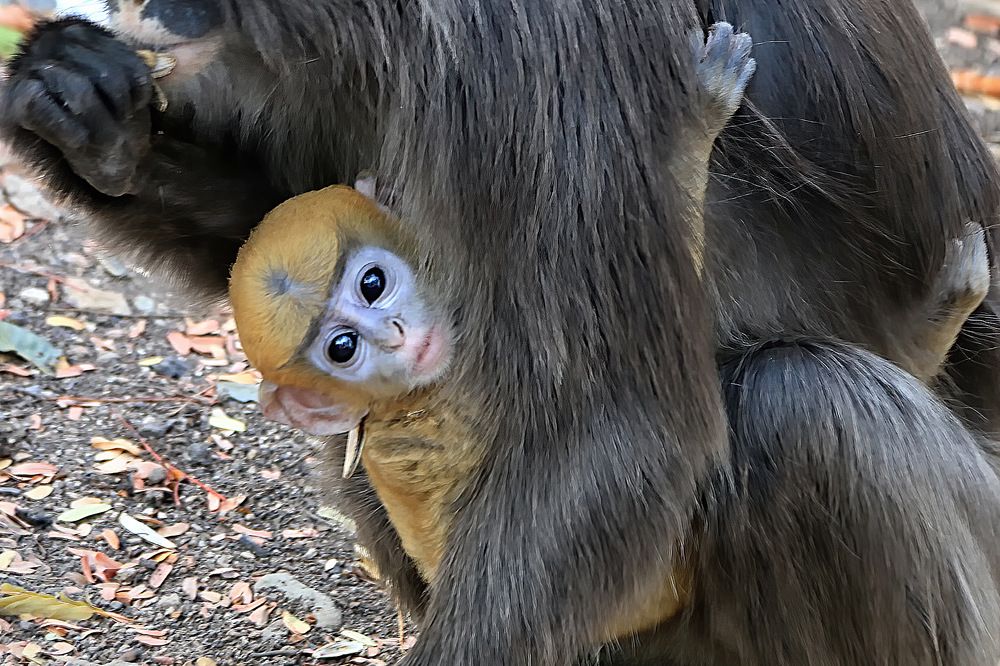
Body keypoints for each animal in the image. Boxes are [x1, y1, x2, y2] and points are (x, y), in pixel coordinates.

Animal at [4, 1, 1000, 664]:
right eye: (341, 344)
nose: (393, 331)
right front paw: (88, 117)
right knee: (809, 405)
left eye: (376, 285)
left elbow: (619, 420)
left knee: (801, 402)